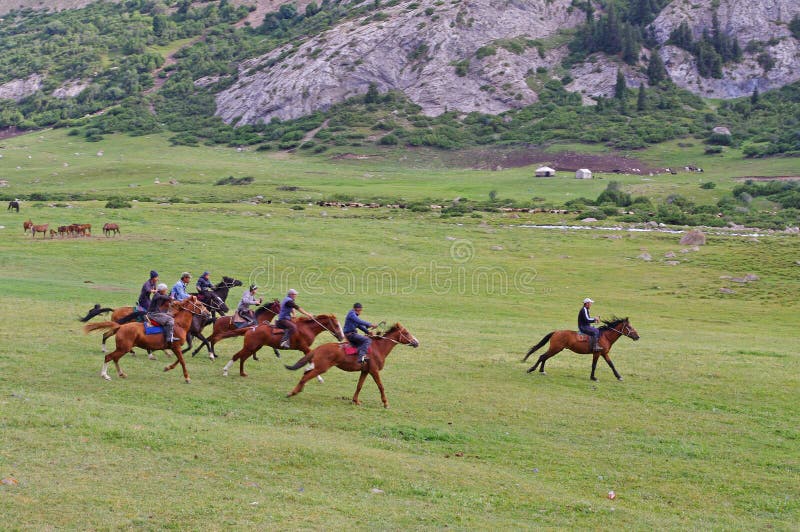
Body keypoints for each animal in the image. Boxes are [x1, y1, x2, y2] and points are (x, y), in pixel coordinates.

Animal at [286, 324, 422, 408]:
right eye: (406, 333)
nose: (416, 342)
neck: (378, 348)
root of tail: (318, 348)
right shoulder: (374, 371)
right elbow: (381, 386)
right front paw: (386, 403)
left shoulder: (365, 371)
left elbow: (359, 386)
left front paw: (355, 400)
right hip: (321, 368)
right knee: (305, 377)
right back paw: (292, 393)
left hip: (318, 367)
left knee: (305, 374)